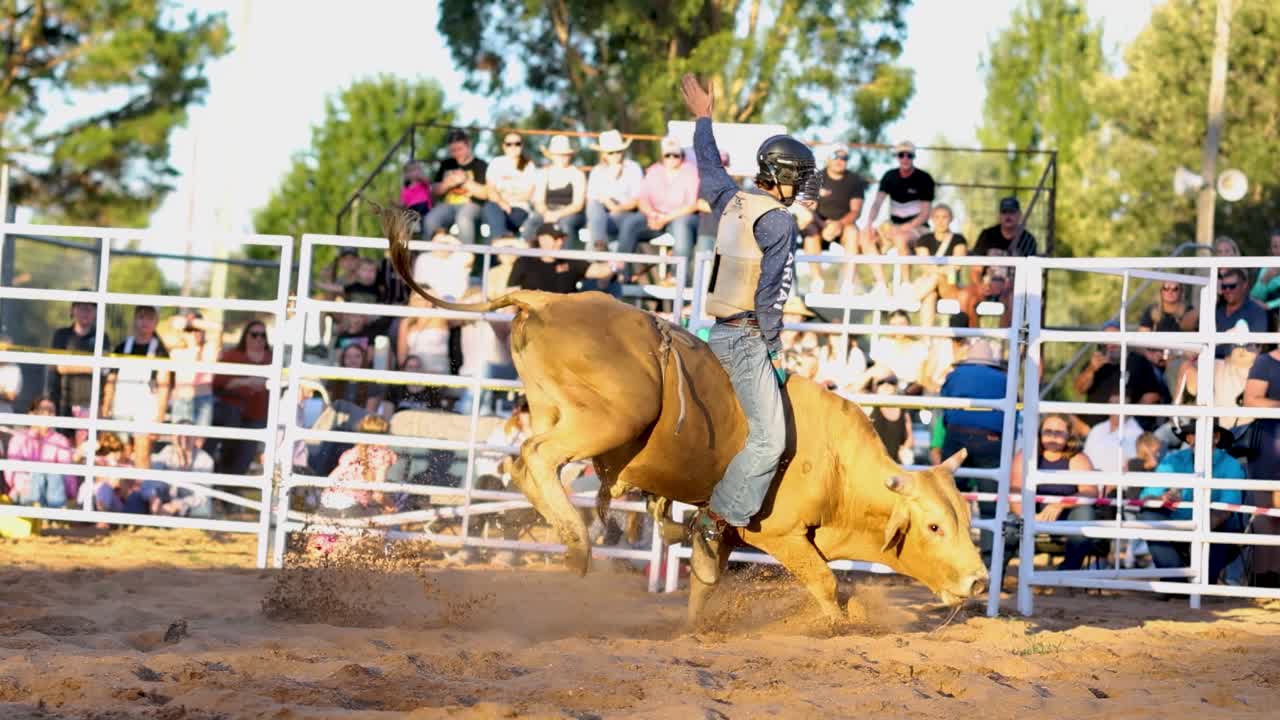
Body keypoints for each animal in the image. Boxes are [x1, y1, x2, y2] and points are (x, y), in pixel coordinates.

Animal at [378, 206, 989, 625]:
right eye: (934, 526)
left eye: (965, 516)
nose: (980, 581)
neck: (838, 465)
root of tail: (547, 299)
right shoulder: (781, 532)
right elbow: (825, 584)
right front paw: (838, 627)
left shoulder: (723, 529)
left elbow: (705, 578)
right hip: (613, 417)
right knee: (534, 460)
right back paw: (577, 543)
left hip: (554, 409)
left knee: (529, 460)